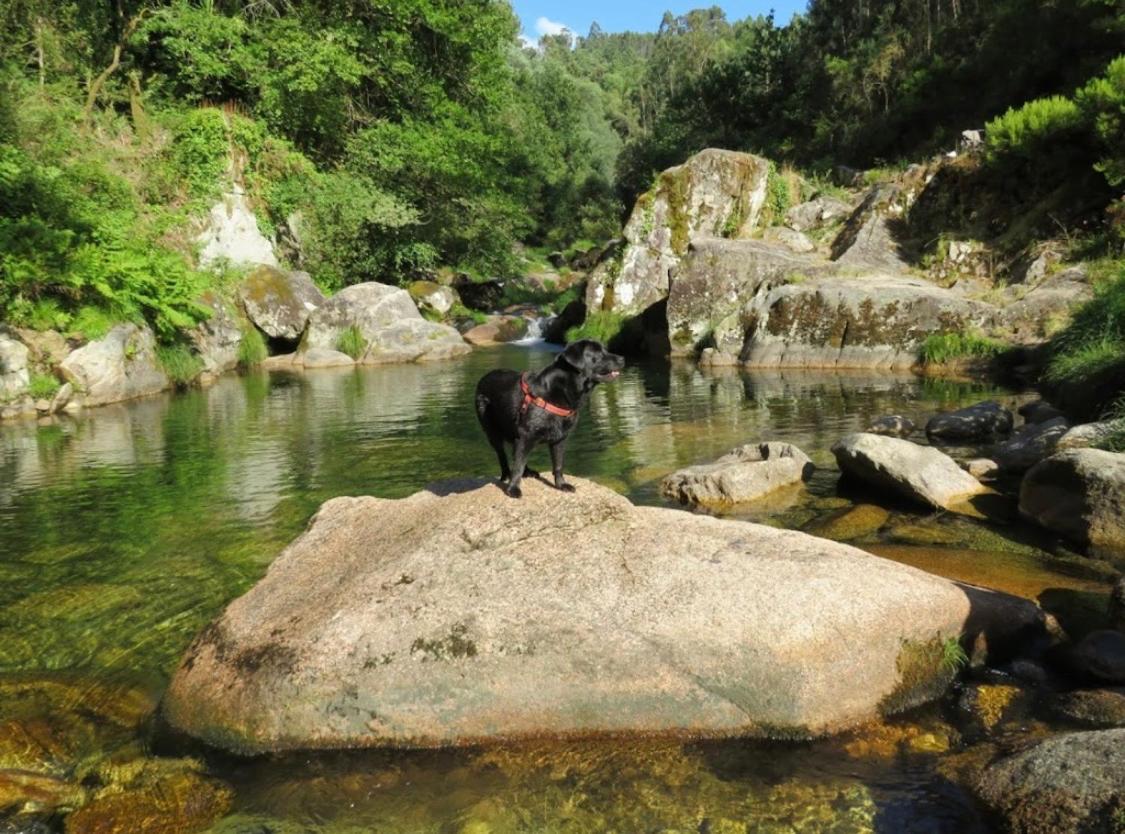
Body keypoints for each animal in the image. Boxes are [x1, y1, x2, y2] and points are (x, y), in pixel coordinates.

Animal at [477, 337, 630, 495]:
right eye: (598, 353)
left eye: (605, 349)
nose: (623, 358)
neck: (561, 390)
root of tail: (485, 377)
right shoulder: (526, 435)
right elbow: (518, 465)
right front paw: (513, 489)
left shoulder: (560, 438)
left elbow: (558, 464)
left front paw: (561, 485)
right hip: (492, 430)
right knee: (502, 455)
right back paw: (507, 475)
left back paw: (528, 472)